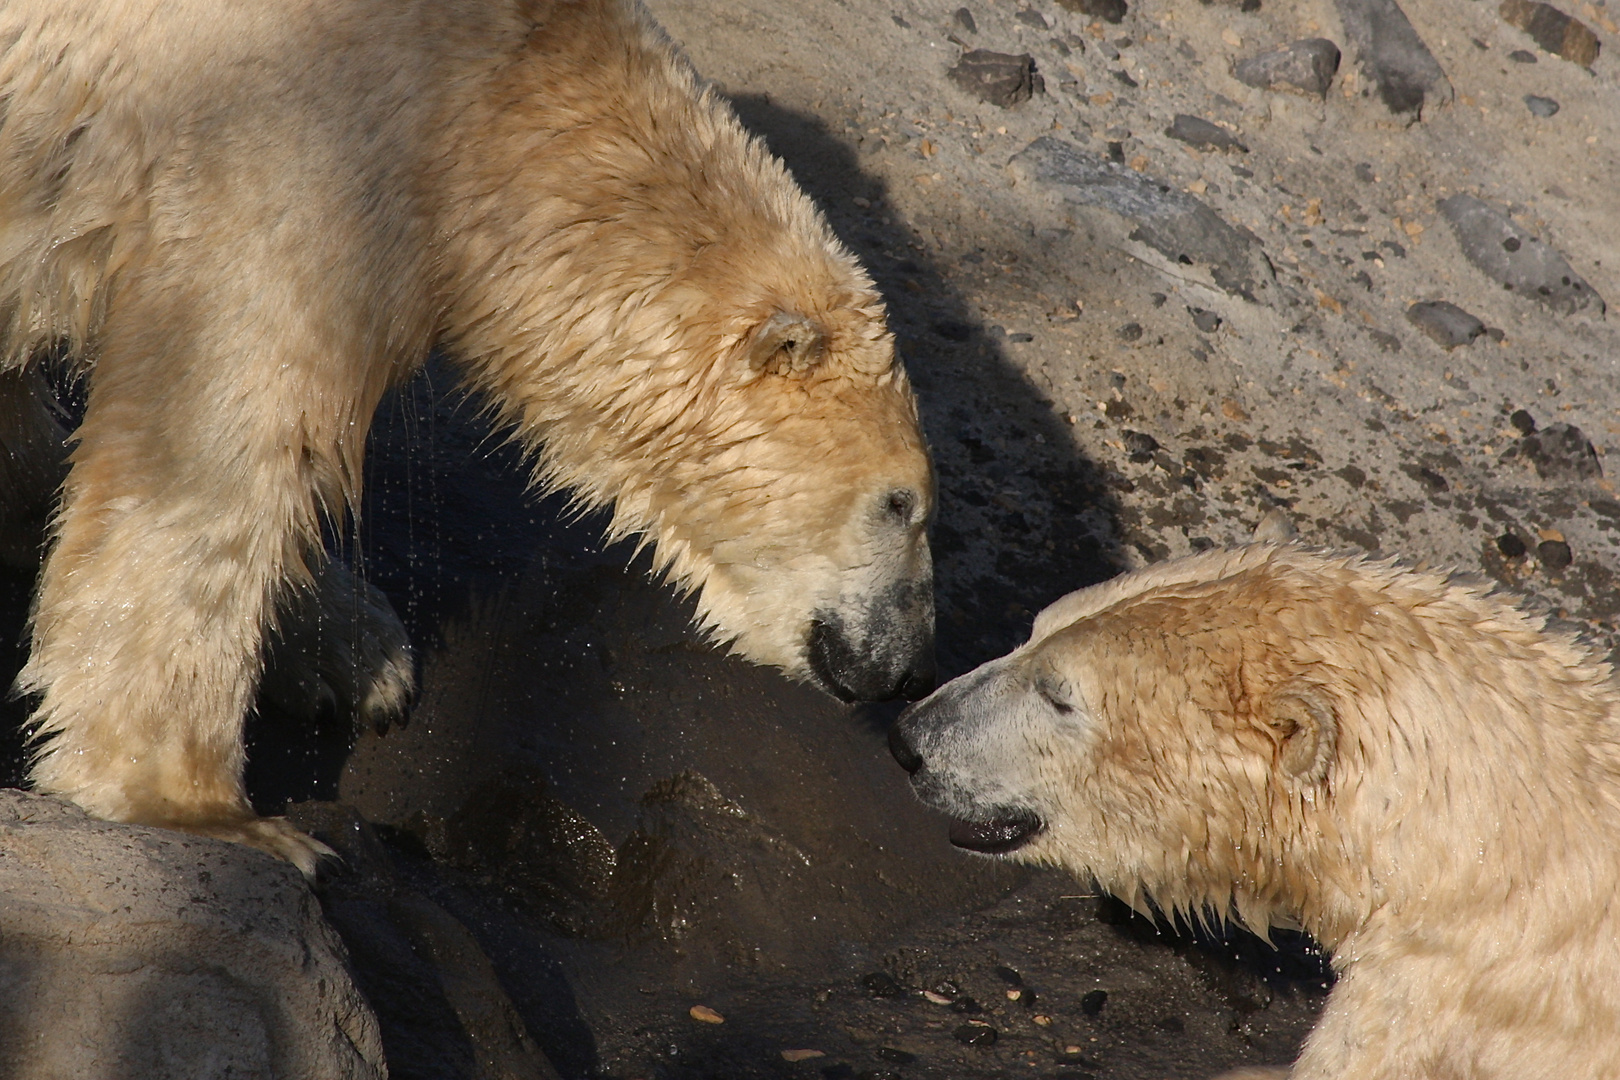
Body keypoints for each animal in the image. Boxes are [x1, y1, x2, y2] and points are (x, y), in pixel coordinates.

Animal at [0, 0, 939, 867]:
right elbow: (217, 438)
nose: (905, 664)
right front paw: (204, 810)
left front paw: (356, 653)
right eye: (901, 505)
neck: (489, 91)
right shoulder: (287, 144)